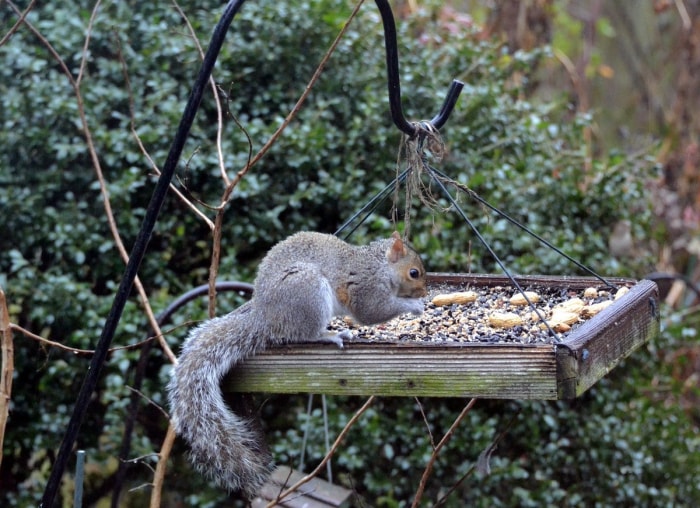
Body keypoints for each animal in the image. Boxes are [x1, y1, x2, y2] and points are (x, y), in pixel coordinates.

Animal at [166, 231, 426, 500]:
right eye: (414, 273)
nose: (424, 292)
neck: (380, 265)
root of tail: (265, 320)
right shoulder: (366, 288)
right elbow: (372, 312)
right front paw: (414, 307)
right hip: (308, 292)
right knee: (308, 334)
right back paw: (331, 335)